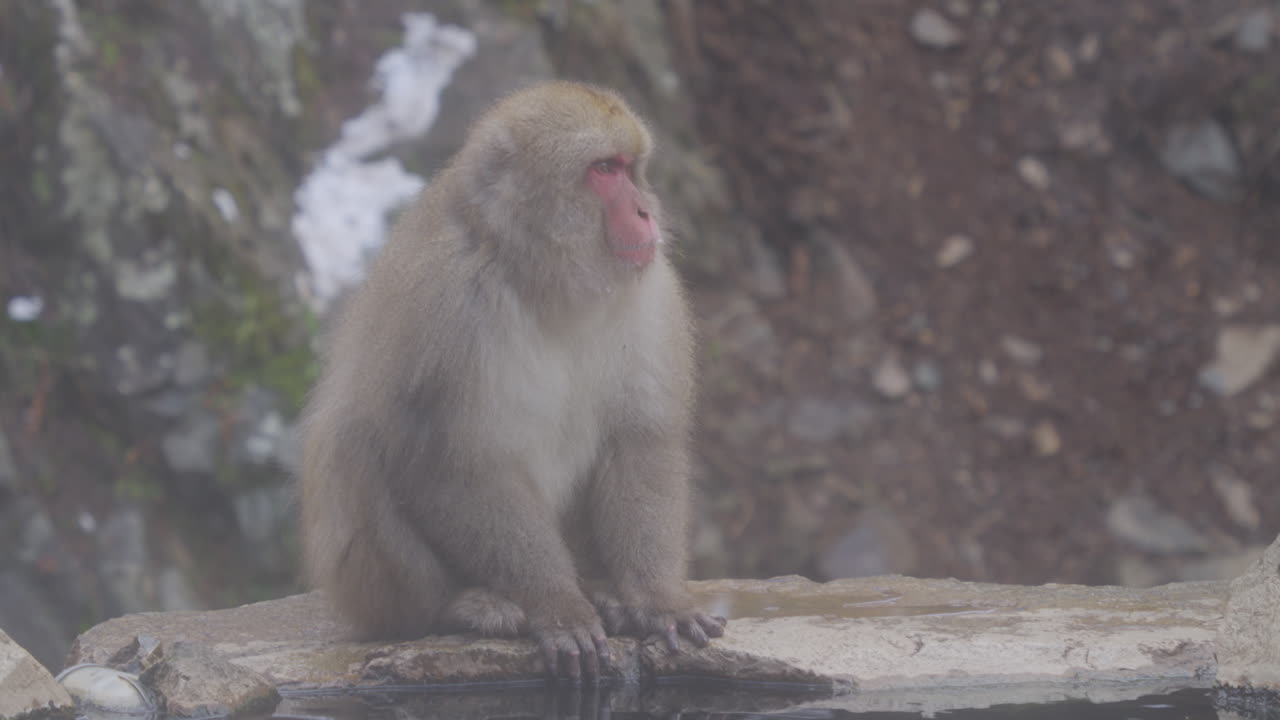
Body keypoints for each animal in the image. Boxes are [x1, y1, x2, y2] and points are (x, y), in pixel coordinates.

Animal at [298, 82, 725, 682]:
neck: (544, 277)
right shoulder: (447, 305)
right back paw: (460, 606)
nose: (645, 211)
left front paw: (657, 601)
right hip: (362, 587)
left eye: (629, 167)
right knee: (356, 439)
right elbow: (452, 465)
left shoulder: (652, 293)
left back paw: (606, 592)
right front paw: (558, 606)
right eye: (603, 169)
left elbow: (639, 441)